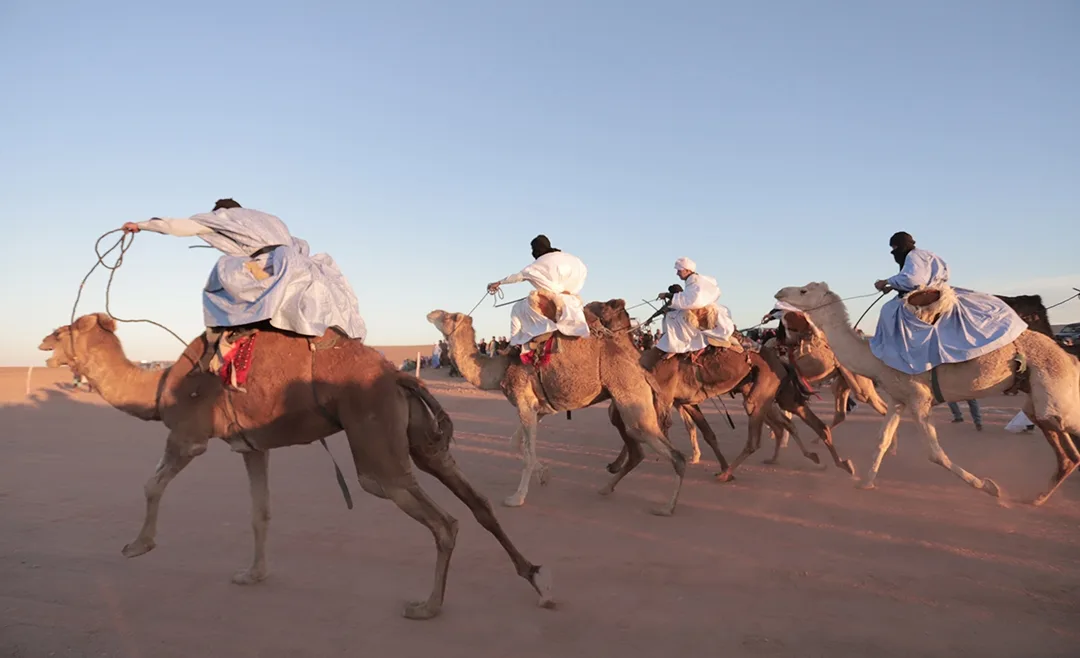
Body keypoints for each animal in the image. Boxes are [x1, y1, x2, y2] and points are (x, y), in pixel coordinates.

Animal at [38, 311, 552, 613]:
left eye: (65, 331)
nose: (44, 343)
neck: (161, 385)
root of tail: (399, 378)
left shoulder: (188, 436)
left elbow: (151, 483)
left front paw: (137, 546)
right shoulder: (252, 447)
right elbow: (260, 512)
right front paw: (252, 574)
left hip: (375, 445)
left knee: (440, 519)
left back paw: (428, 606)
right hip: (422, 441)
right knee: (477, 503)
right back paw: (537, 582)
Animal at [425, 300, 686, 516]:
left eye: (448, 316)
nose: (431, 312)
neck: (499, 369)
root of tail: (641, 369)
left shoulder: (524, 404)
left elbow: (527, 453)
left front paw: (516, 498)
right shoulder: (537, 410)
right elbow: (516, 444)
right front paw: (544, 475)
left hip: (632, 402)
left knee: (676, 455)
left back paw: (667, 508)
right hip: (624, 407)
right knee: (638, 450)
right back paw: (606, 488)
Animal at [777, 283, 1080, 503]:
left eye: (804, 290)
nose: (779, 292)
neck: (875, 357)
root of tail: (1068, 356)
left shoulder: (919, 398)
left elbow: (935, 453)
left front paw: (990, 487)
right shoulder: (899, 399)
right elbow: (881, 440)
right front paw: (865, 483)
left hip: (1055, 393)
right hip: (1038, 398)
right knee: (1062, 445)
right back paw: (1039, 497)